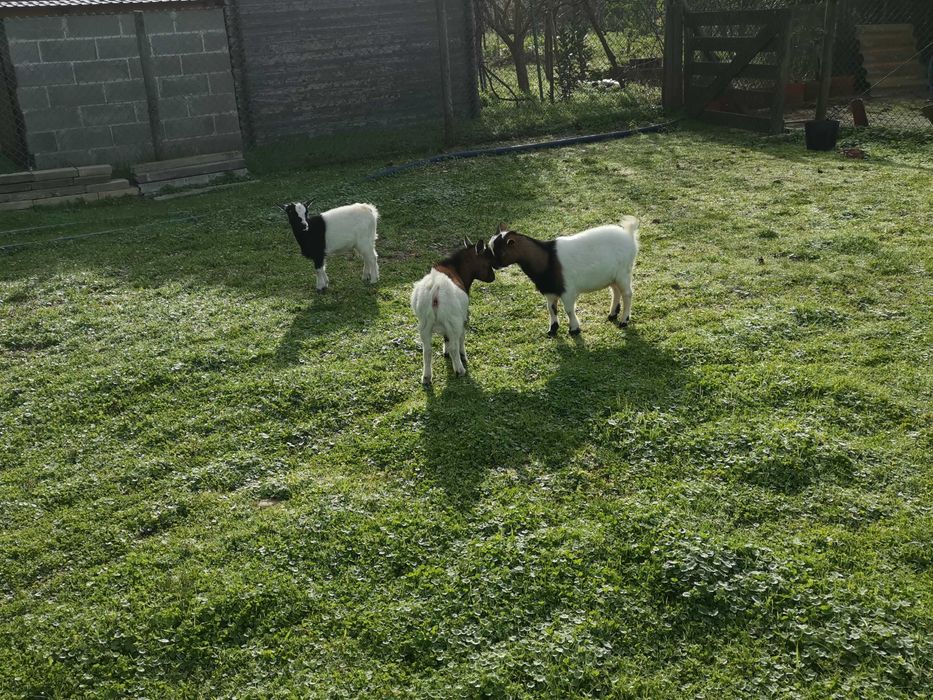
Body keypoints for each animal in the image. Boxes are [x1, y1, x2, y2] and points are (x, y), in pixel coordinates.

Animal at [410, 239, 496, 386]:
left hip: (424, 324)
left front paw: (445, 352)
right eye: (487, 260)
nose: (493, 277)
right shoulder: (463, 317)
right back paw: (460, 370)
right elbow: (460, 338)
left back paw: (426, 377)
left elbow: (446, 338)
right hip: (453, 321)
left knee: (427, 350)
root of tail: (435, 290)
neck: (455, 268)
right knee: (454, 346)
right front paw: (463, 356)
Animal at [488, 217, 639, 337]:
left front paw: (574, 329)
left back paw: (624, 320)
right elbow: (551, 308)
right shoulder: (550, 291)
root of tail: (629, 235)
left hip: (624, 272)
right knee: (615, 290)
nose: (493, 265)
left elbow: (569, 310)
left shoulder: (567, 291)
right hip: (612, 275)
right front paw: (552, 329)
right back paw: (612, 314)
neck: (548, 259)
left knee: (627, 294)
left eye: (501, 251)